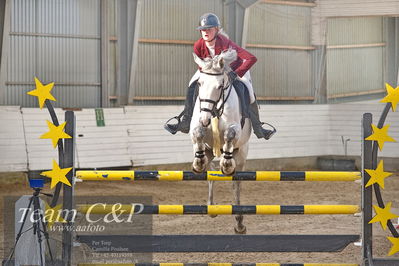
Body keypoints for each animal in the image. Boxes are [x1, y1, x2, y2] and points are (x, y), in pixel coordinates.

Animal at [190, 49, 252, 233]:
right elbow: (197, 133)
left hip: (241, 155)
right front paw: (198, 163)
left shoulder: (235, 129)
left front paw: (226, 164)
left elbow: (229, 135)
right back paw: (211, 207)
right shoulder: (197, 126)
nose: (205, 119)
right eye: (200, 84)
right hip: (210, 153)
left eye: (219, 87)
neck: (215, 109)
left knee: (236, 183)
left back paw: (239, 223)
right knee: (210, 173)